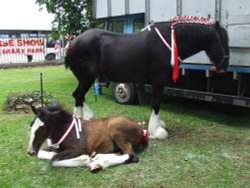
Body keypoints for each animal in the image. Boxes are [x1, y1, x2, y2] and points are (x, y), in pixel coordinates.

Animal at [65, 18, 229, 140]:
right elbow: (156, 103)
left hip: (85, 78)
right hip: (87, 77)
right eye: (221, 40)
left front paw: (158, 125)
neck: (169, 42)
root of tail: (72, 43)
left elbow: (155, 103)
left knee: (78, 95)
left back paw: (87, 117)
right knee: (78, 95)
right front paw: (156, 131)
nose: (224, 67)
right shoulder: (158, 81)